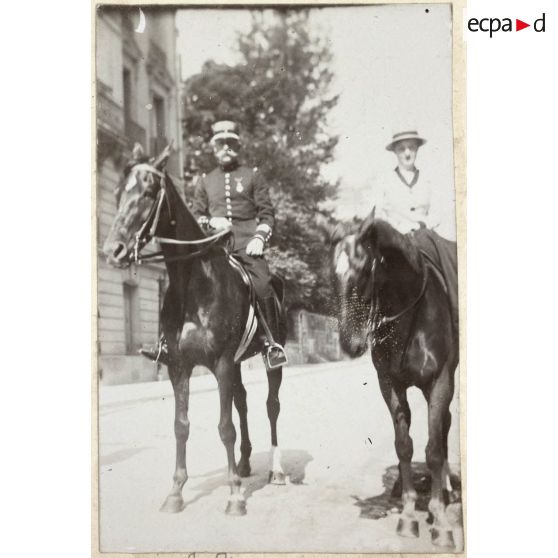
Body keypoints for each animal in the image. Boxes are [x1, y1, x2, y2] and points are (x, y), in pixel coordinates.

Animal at [103, 147, 288, 520]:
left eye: (148, 193)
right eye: (116, 193)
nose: (112, 251)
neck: (195, 283)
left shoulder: (221, 363)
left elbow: (225, 428)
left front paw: (235, 496)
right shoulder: (179, 367)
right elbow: (181, 426)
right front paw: (176, 492)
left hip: (268, 362)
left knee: (271, 406)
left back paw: (275, 470)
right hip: (237, 363)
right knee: (243, 402)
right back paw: (245, 463)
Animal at [328, 214, 460, 552]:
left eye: (364, 271)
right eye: (332, 275)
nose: (350, 344)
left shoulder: (440, 381)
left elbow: (434, 449)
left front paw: (440, 520)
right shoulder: (389, 384)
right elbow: (404, 446)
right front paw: (409, 514)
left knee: (444, 428)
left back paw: (448, 487)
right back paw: (402, 486)